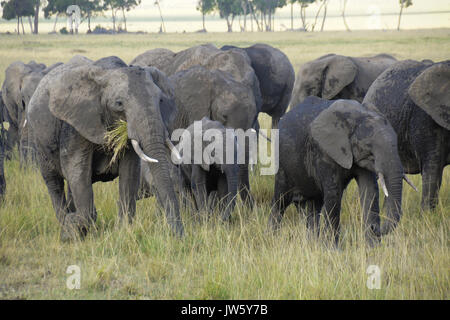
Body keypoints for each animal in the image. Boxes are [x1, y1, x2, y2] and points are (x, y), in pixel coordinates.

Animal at [27, 55, 183, 240]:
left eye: (160, 100)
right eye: (119, 104)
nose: (179, 236)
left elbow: (129, 173)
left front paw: (123, 232)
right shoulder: (75, 125)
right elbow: (77, 169)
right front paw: (73, 226)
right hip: (39, 140)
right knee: (54, 182)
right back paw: (67, 226)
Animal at [268, 97, 412, 245]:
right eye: (369, 147)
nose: (374, 227)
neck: (358, 116)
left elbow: (370, 190)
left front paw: (373, 247)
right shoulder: (324, 152)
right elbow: (334, 194)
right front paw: (333, 248)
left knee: (314, 205)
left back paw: (312, 243)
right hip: (282, 165)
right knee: (280, 200)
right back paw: (272, 237)